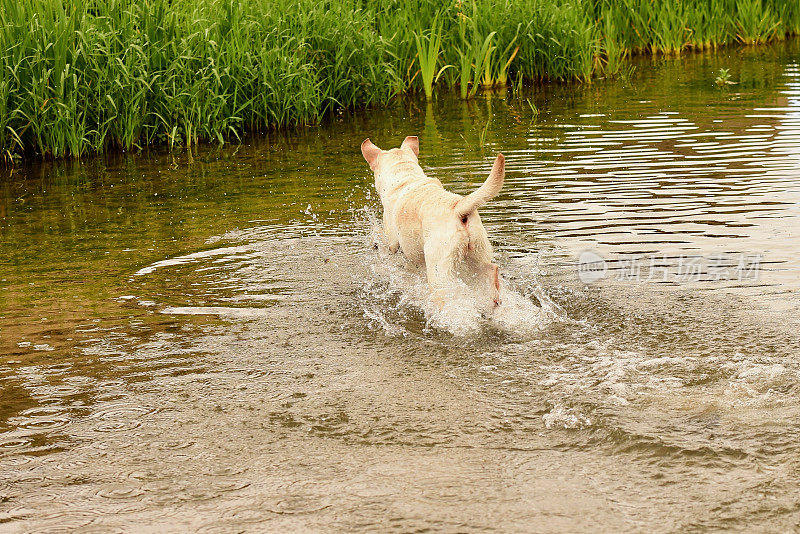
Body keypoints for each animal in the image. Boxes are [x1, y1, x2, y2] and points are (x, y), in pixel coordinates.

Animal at [362, 134, 506, 312]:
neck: (405, 177)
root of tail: (458, 207)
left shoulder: (393, 243)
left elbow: (384, 240)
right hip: (478, 253)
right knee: (491, 270)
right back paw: (493, 301)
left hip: (438, 268)